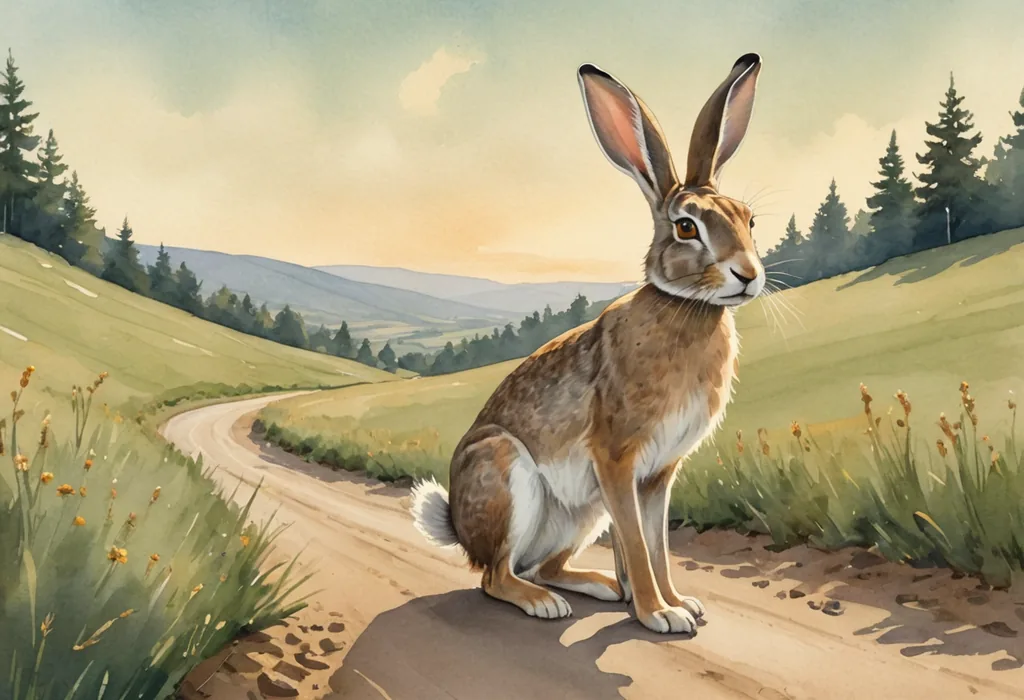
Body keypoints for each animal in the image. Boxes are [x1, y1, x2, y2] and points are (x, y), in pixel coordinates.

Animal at [411, 53, 764, 635]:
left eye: (748, 219)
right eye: (686, 227)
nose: (748, 275)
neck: (686, 308)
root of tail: (460, 529)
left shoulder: (656, 475)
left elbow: (656, 544)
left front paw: (679, 603)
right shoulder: (616, 458)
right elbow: (640, 545)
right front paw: (659, 615)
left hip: (581, 513)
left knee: (543, 565)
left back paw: (600, 587)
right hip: (507, 475)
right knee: (496, 577)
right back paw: (543, 603)